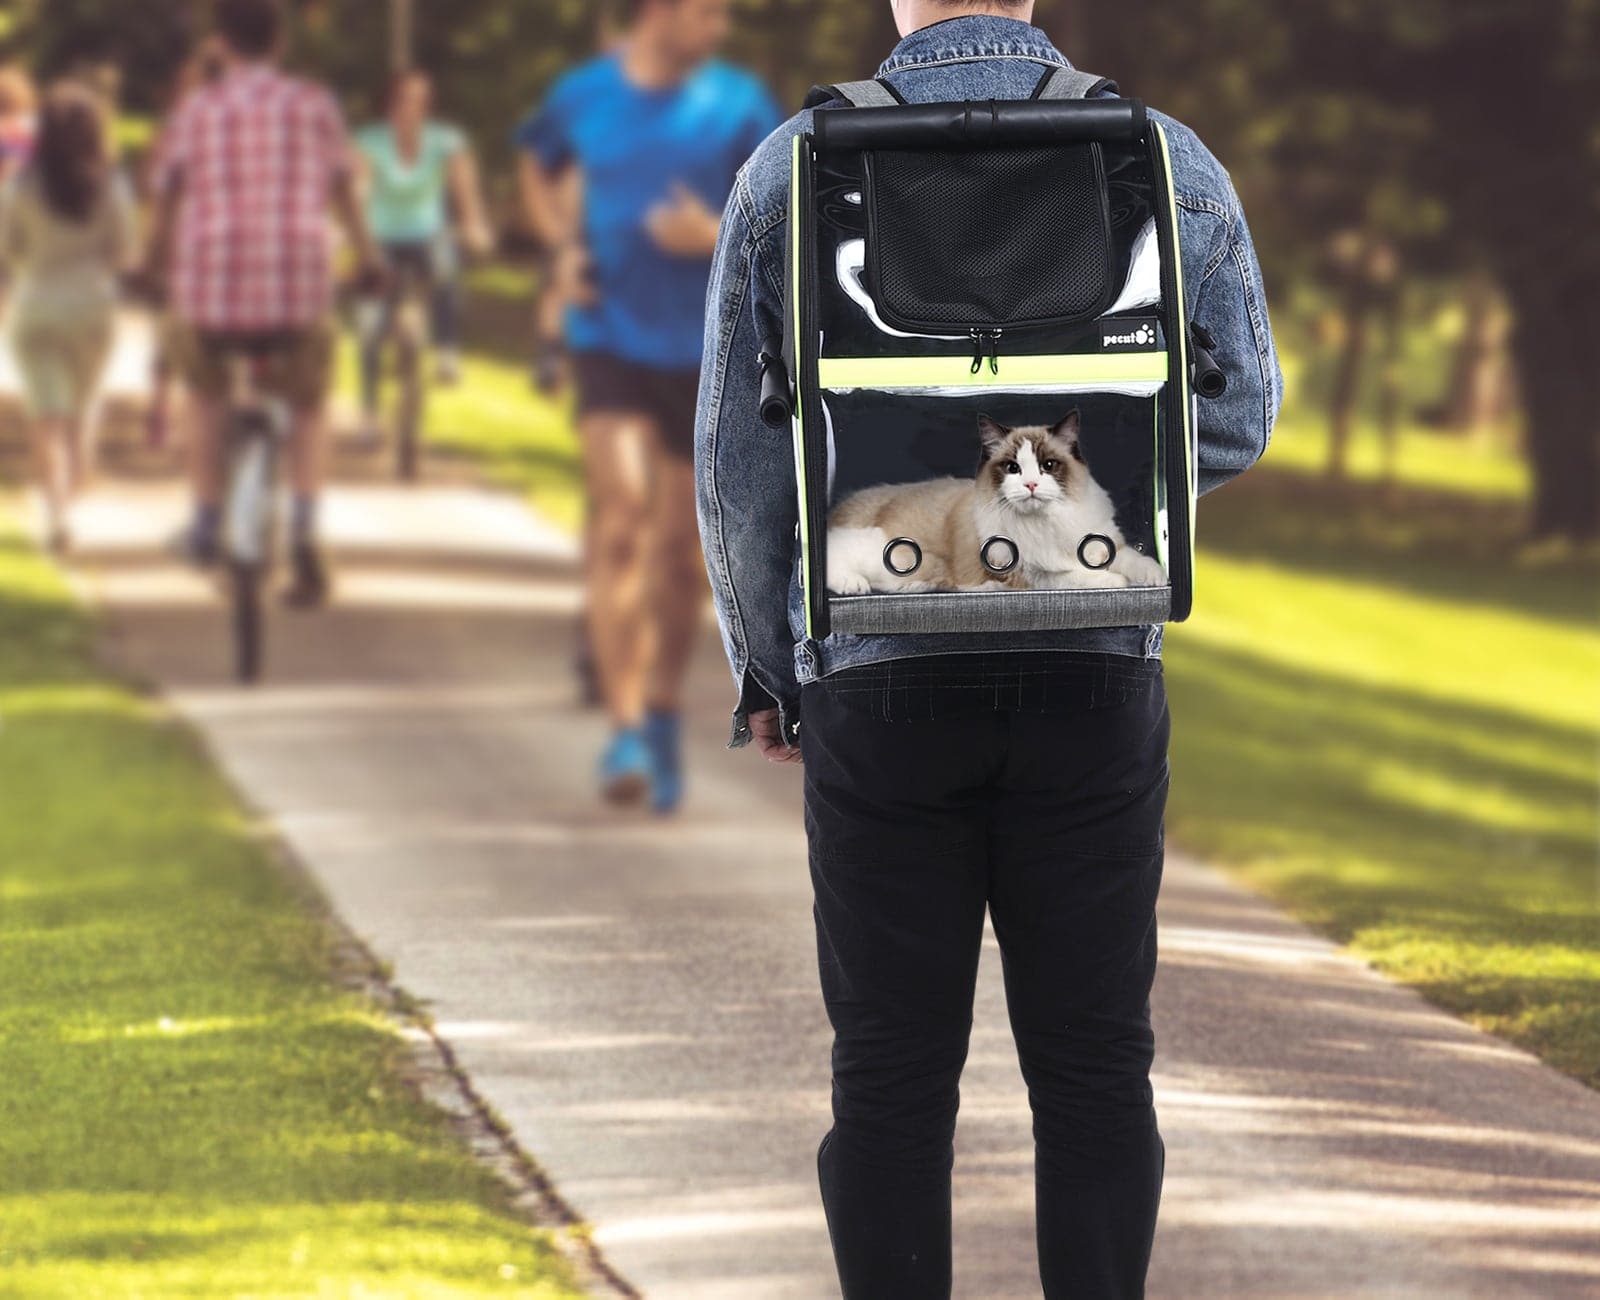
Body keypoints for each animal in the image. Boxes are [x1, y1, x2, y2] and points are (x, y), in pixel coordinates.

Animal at [825, 413, 1164, 595]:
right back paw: (853, 584)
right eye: (1013, 468)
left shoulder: (1102, 545)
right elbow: (1082, 577)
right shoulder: (1029, 575)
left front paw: (1154, 575)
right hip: (896, 556)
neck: (1049, 523)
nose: (1031, 485)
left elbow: (1133, 559)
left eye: (1048, 465)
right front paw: (1118, 581)